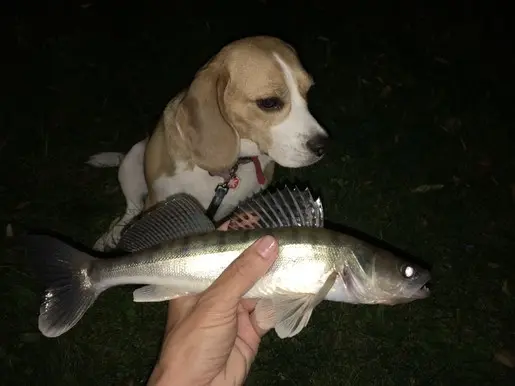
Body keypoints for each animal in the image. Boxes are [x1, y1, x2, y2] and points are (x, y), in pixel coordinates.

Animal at [88, 35, 328, 250]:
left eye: (308, 92)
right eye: (269, 102)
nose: (322, 147)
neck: (229, 169)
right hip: (133, 159)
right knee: (129, 211)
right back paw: (110, 237)